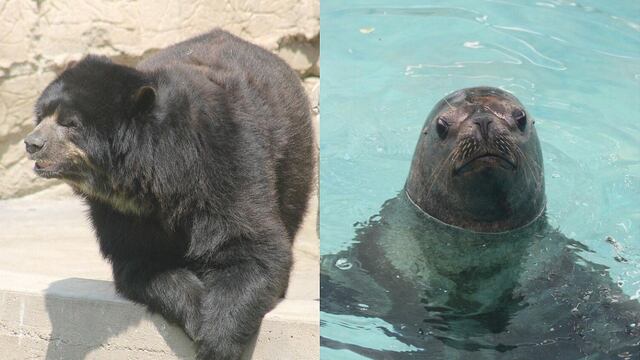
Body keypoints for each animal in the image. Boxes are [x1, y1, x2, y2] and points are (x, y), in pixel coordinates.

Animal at [25, 29, 316, 358]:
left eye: (70, 123)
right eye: (42, 115)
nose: (32, 143)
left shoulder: (227, 160)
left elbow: (250, 245)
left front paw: (217, 341)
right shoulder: (118, 211)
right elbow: (142, 259)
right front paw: (198, 313)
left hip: (292, 160)